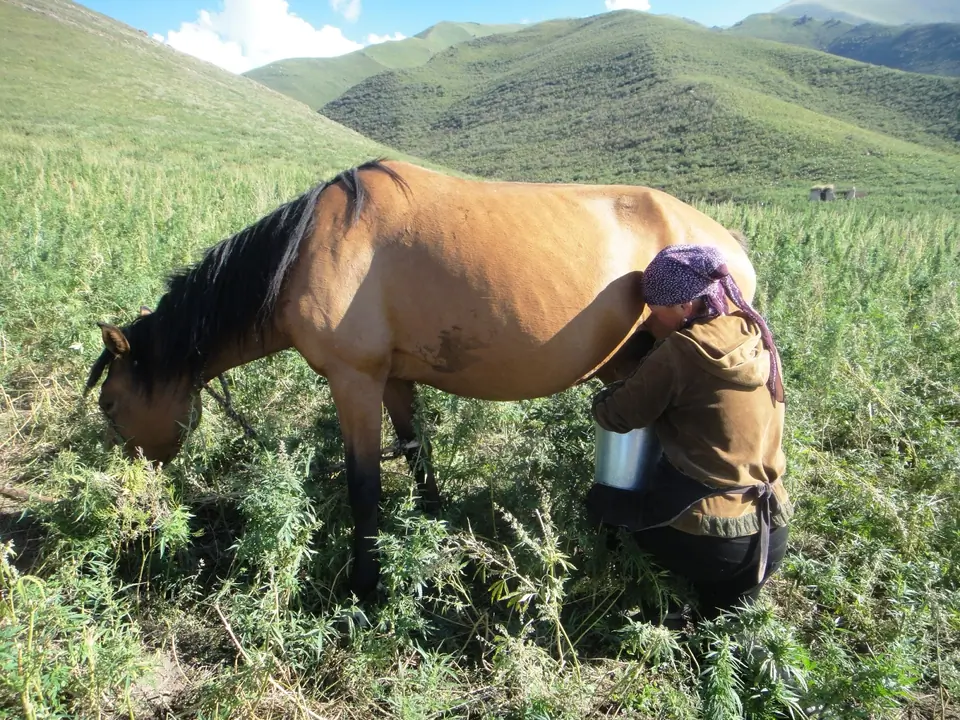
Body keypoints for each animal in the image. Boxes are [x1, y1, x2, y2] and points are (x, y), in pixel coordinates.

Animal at [85, 158, 756, 597]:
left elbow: (364, 487)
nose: (132, 511)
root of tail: (727, 243)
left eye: (110, 405)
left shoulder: (353, 381)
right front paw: (434, 529)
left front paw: (365, 585)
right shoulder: (392, 380)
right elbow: (417, 455)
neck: (310, 250)